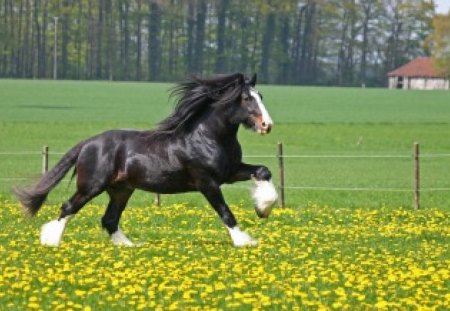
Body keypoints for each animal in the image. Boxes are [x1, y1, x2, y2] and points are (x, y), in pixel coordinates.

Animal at [14, 72, 278, 249]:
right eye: (246, 98)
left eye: (261, 96)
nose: (267, 125)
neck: (207, 136)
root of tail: (88, 143)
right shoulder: (207, 181)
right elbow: (224, 211)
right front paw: (244, 240)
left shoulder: (230, 172)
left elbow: (263, 171)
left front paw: (262, 209)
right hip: (92, 186)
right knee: (68, 207)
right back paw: (50, 240)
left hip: (121, 189)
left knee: (109, 219)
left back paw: (130, 246)